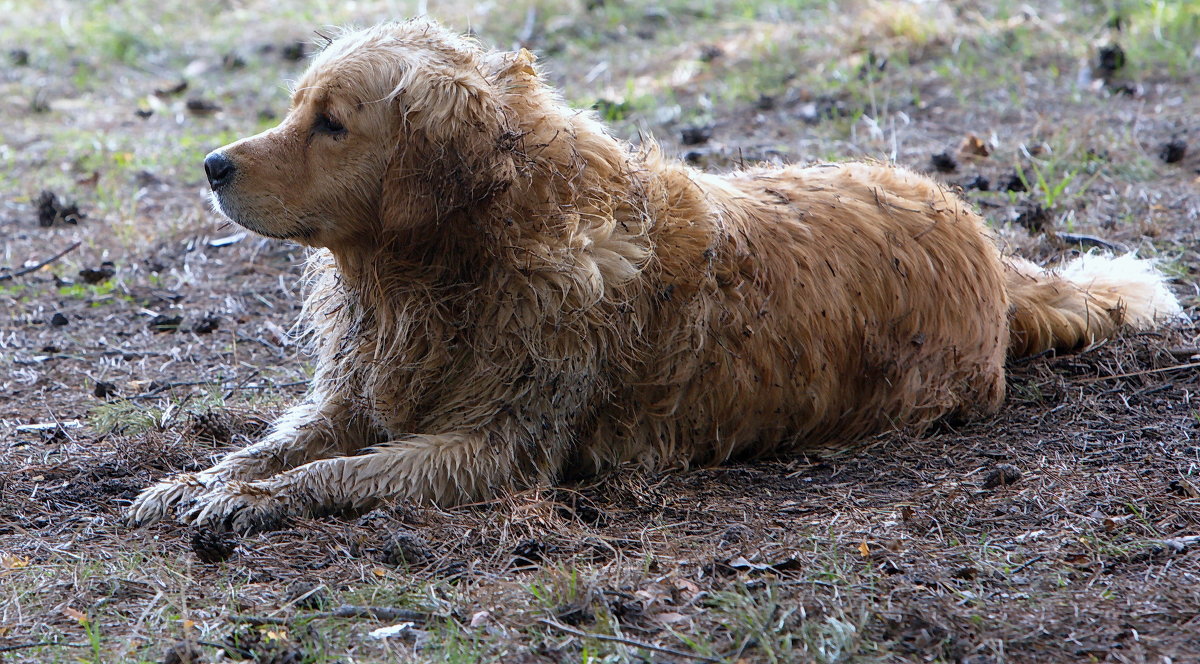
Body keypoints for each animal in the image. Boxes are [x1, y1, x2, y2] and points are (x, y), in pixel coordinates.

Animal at [124, 19, 1180, 533]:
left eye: (332, 123)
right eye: (295, 106)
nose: (212, 165)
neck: (451, 265)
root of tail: (993, 256)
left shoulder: (498, 448)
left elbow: (341, 471)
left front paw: (255, 502)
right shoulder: (351, 394)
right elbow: (279, 444)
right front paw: (200, 479)